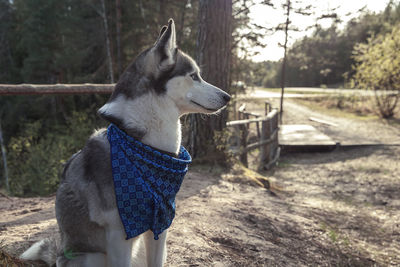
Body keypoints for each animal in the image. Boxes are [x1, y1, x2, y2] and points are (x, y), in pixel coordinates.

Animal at [20, 19, 230, 267]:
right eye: (194, 76)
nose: (228, 97)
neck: (148, 146)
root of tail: (59, 254)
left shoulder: (159, 227)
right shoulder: (119, 236)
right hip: (94, 257)